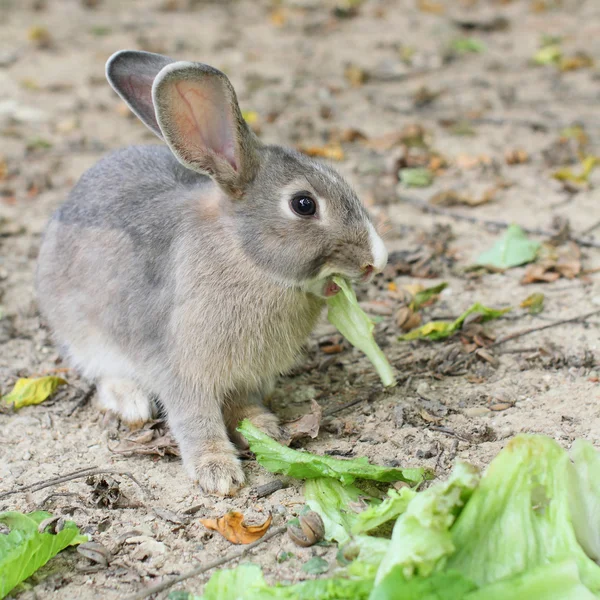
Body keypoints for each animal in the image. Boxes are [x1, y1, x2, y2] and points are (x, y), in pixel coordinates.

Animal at [36, 49, 390, 494]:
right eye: (304, 204)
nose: (376, 259)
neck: (245, 256)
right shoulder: (181, 370)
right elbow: (195, 420)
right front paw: (218, 472)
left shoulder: (245, 377)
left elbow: (242, 405)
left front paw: (264, 429)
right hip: (83, 333)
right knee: (102, 372)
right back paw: (131, 404)